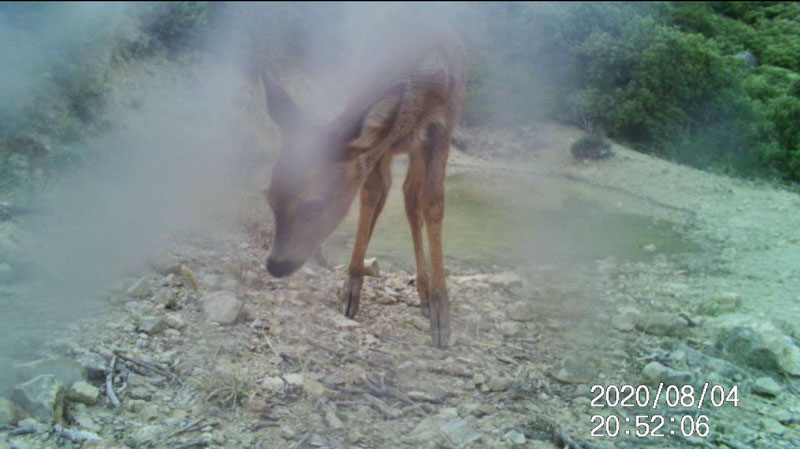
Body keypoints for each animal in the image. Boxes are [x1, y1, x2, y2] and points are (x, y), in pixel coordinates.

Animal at [260, 10, 466, 346]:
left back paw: (424, 293)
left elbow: (434, 202)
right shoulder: (377, 143)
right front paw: (351, 287)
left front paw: (441, 315)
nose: (276, 264)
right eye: (270, 196)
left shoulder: (445, 120)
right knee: (398, 194)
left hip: (420, 143)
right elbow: (370, 196)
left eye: (314, 206)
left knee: (413, 197)